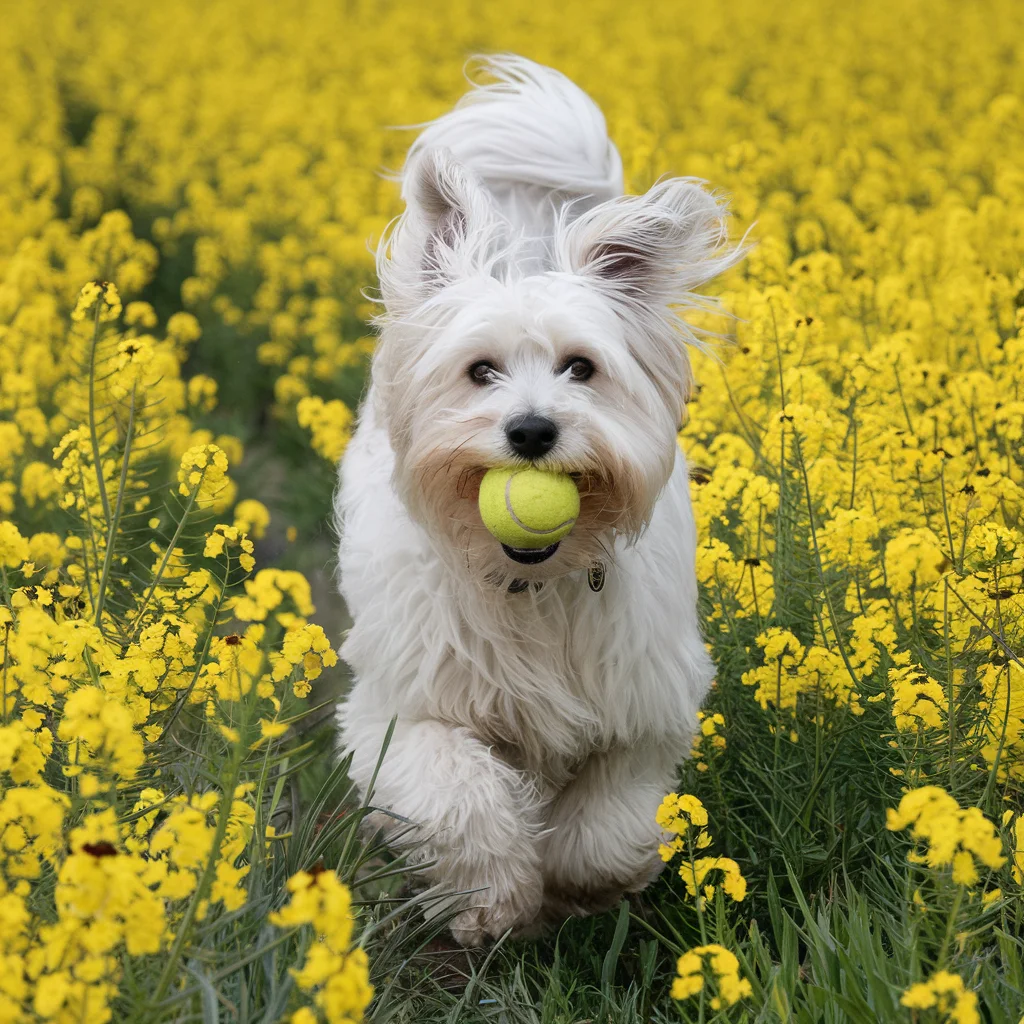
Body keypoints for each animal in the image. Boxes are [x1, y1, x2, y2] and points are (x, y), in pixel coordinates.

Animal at [335, 54, 745, 942]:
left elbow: (610, 824)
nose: (530, 431)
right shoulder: (406, 711)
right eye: (480, 370)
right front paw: (493, 900)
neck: (534, 584)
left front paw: (580, 888)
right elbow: (460, 800)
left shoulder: (645, 708)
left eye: (581, 367)